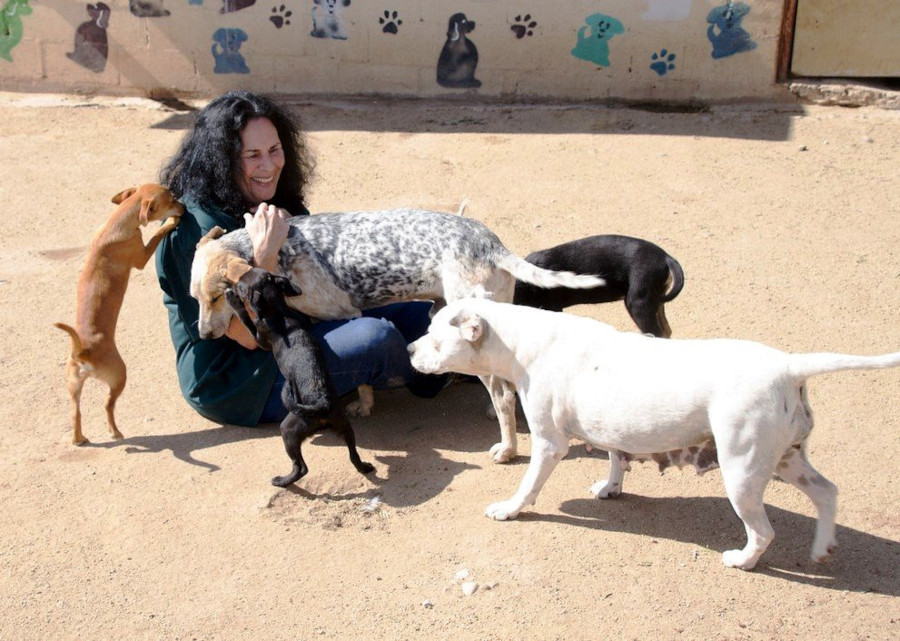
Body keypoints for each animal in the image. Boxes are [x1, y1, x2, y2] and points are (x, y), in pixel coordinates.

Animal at [54, 185, 185, 444]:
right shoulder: (142, 255)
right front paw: (171, 222)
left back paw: (78, 438)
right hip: (119, 376)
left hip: (73, 385)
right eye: (172, 199)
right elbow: (156, 235)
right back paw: (116, 433)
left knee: (76, 412)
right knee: (108, 405)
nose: (184, 207)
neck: (116, 222)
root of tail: (83, 350)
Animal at [195, 208, 604, 462]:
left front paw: (364, 404)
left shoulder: (346, 313)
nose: (203, 334)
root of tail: (493, 245)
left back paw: (506, 449)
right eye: (195, 297)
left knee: (503, 397)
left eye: (217, 297)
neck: (279, 254)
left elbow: (362, 379)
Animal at [229, 268, 380, 488]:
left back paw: (282, 481)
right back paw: (365, 467)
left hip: (289, 429)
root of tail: (322, 404)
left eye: (240, 285)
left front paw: (233, 301)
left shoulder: (260, 338)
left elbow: (246, 319)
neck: (279, 310)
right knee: (353, 455)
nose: (231, 285)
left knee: (301, 467)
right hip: (344, 426)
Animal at [412, 298, 900, 568]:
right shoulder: (609, 425)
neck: (522, 341)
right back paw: (822, 548)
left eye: (436, 336)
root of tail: (788, 365)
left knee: (764, 531)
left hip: (742, 472)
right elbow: (614, 457)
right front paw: (610, 488)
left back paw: (743, 561)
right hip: (788, 458)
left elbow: (528, 484)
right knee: (827, 492)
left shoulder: (550, 444)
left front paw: (509, 509)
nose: (411, 348)